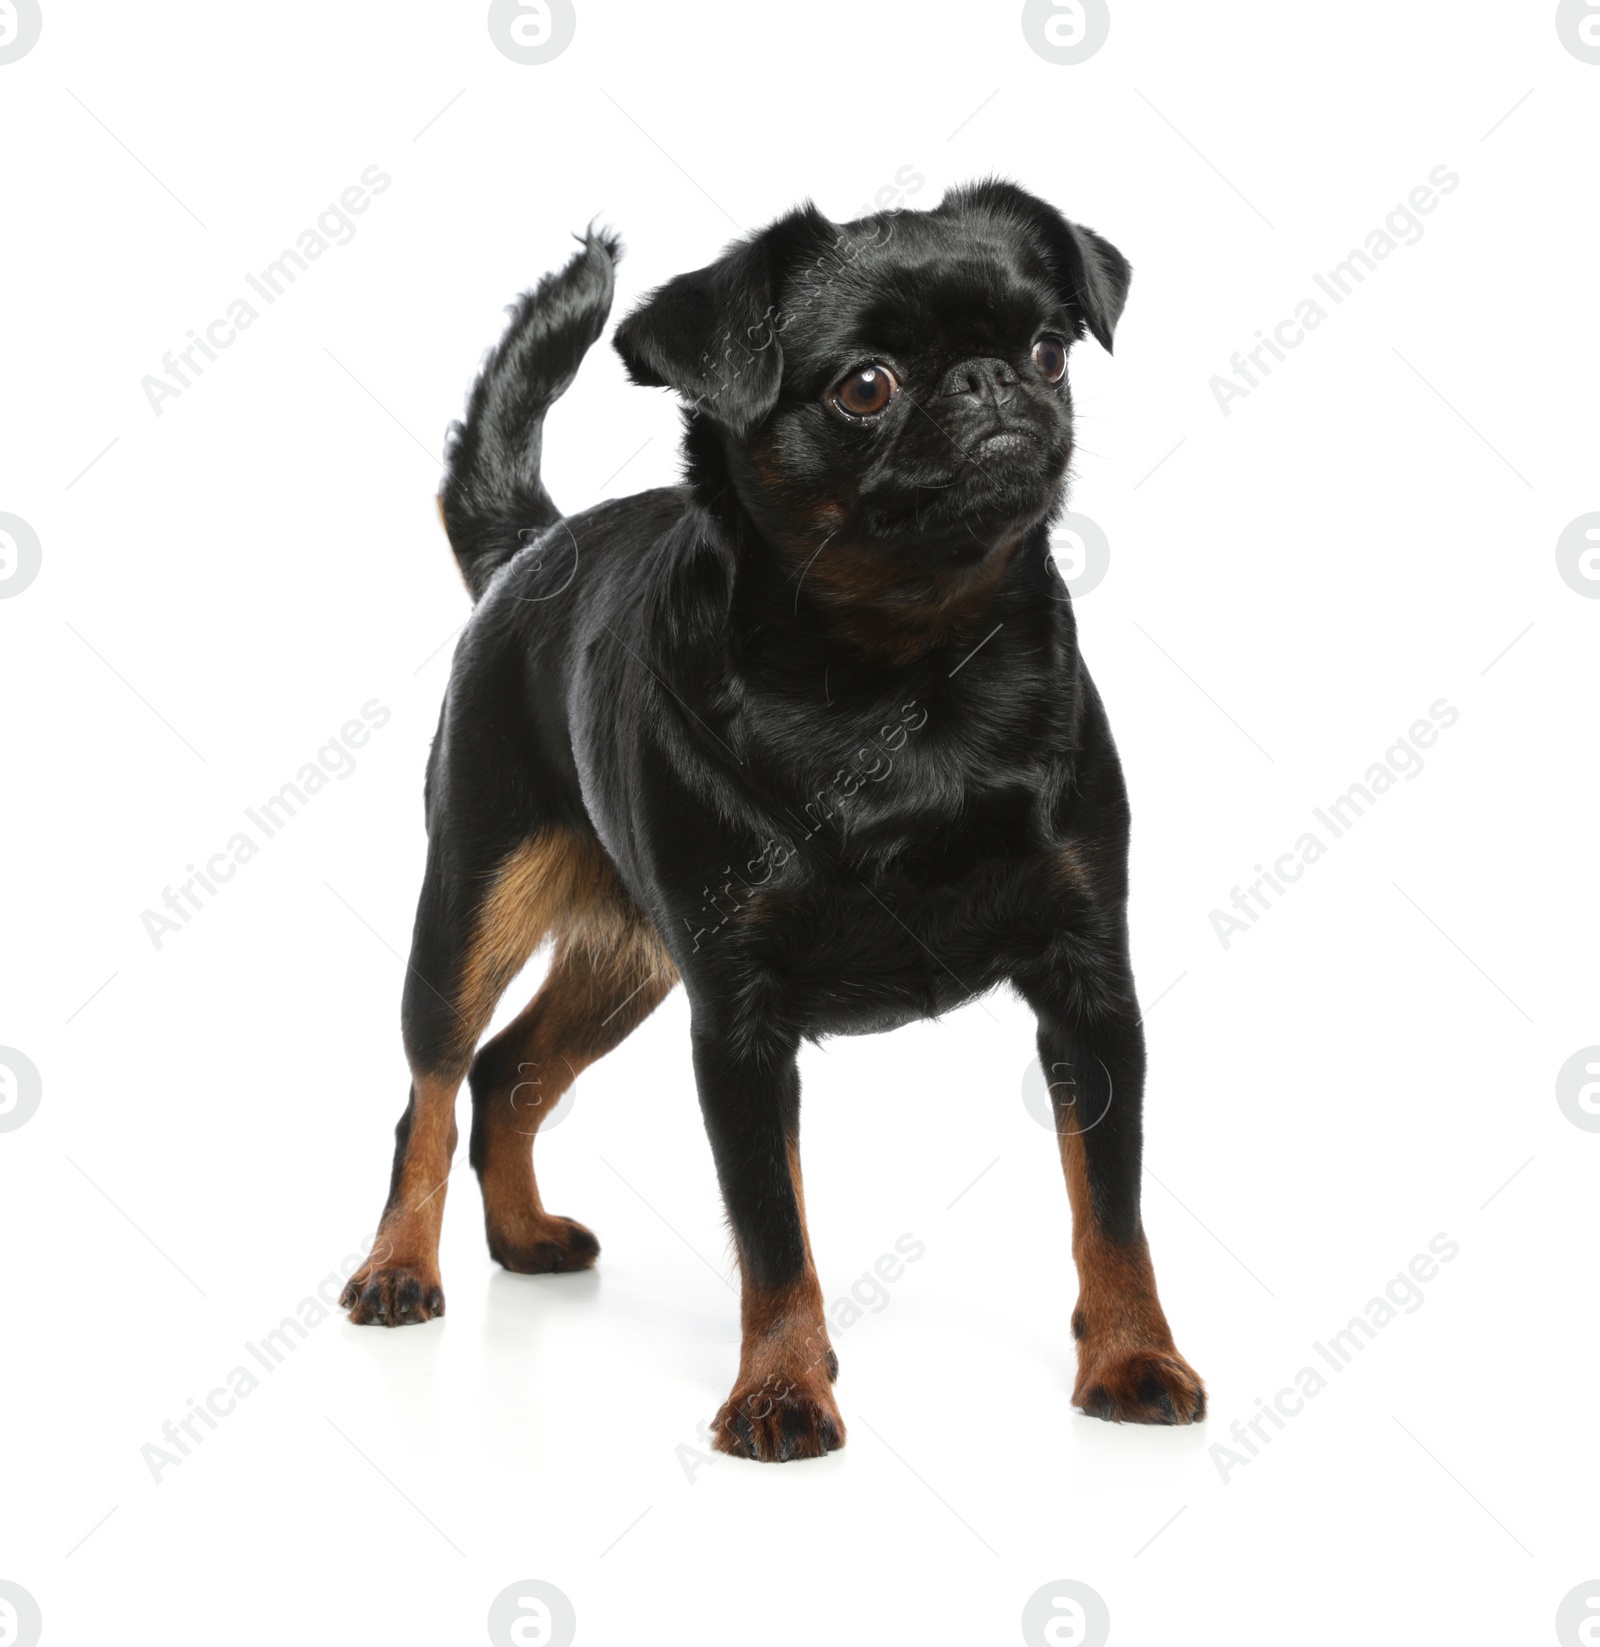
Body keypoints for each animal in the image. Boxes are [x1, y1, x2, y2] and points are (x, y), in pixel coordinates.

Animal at [344, 180, 1206, 1462]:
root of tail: (533, 545)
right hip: (470, 910)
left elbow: (1112, 1208)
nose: (993, 380)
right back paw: (401, 1267)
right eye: (865, 386)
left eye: (1050, 350)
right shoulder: (739, 1026)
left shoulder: (1090, 988)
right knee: (435, 1087)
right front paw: (783, 1389)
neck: (904, 678)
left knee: (510, 1072)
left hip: (630, 961)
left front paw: (1131, 1356)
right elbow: (773, 1234)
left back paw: (524, 1237)